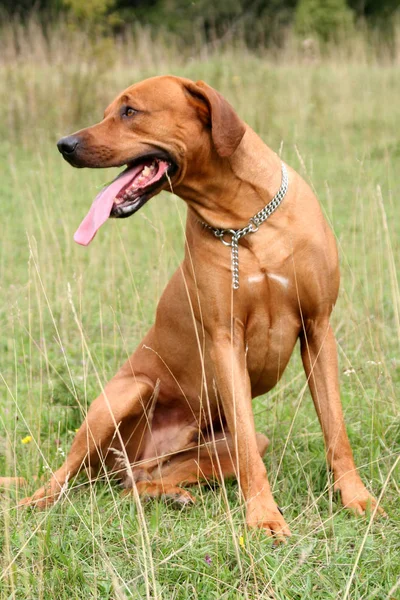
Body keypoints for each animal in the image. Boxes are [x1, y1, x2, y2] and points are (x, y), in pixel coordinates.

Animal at [7, 75, 382, 540]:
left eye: (129, 111)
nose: (65, 144)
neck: (244, 222)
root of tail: (125, 462)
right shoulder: (225, 340)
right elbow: (249, 448)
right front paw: (264, 516)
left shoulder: (318, 328)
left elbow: (336, 431)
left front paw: (357, 497)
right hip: (123, 395)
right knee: (64, 475)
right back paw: (34, 501)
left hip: (189, 451)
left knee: (138, 483)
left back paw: (170, 494)